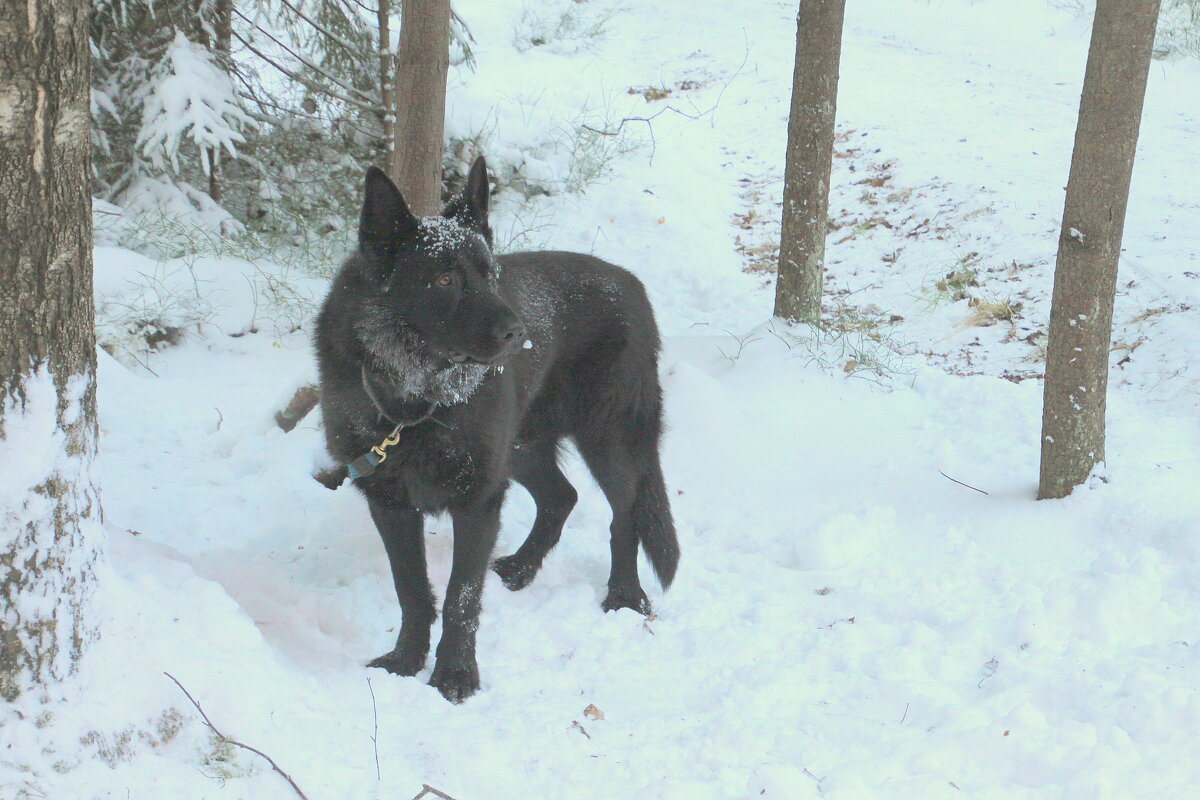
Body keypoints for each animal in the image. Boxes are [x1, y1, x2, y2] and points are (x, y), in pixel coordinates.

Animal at [314, 159, 681, 705]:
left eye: (490, 275)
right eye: (445, 278)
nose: (519, 334)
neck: (415, 401)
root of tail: (632, 284)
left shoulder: (478, 501)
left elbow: (460, 598)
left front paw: (455, 675)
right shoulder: (391, 505)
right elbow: (412, 590)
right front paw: (405, 661)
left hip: (609, 441)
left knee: (626, 514)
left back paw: (624, 595)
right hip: (522, 447)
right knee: (562, 497)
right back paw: (524, 568)